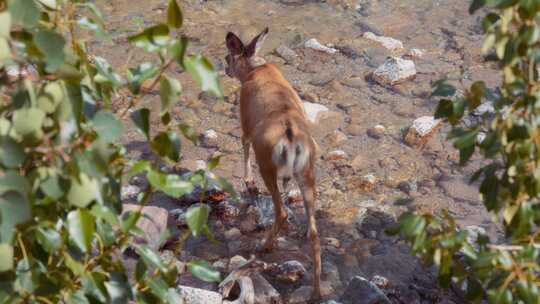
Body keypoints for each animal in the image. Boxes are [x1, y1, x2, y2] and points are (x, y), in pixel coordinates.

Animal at [224, 28, 320, 302]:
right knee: (314, 233)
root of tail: (291, 137)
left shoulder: (245, 124)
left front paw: (247, 181)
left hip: (266, 162)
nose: (224, 68)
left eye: (227, 57)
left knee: (281, 211)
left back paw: (265, 245)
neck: (254, 69)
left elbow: (243, 147)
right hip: (307, 170)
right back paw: (317, 291)